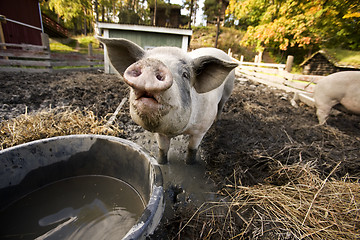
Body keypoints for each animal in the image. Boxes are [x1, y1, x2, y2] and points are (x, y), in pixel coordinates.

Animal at [99, 37, 239, 165]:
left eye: (185, 75)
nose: (153, 63)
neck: (179, 131)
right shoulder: (160, 133)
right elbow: (163, 149)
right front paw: (161, 163)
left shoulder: (201, 129)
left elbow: (192, 149)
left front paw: (190, 164)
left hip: (228, 90)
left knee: (221, 106)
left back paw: (217, 123)